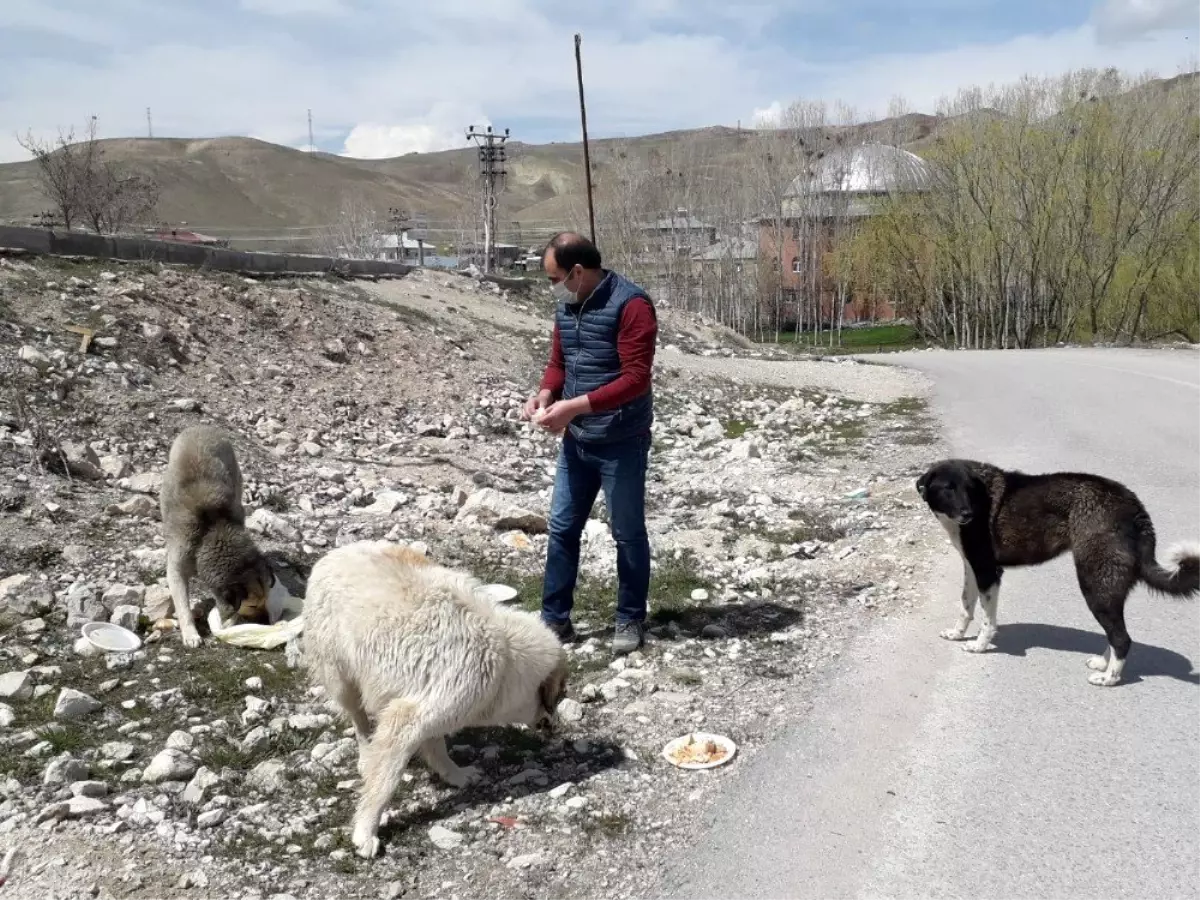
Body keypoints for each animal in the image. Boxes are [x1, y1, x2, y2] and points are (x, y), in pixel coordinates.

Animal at [157, 424, 272, 648]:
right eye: (253, 606)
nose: (269, 623)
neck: (210, 532)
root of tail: (201, 426)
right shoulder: (176, 568)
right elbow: (182, 603)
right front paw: (190, 633)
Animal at [307, 540, 573, 864]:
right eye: (560, 692)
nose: (556, 725)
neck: (507, 659)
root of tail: (335, 553)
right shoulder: (409, 716)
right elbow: (385, 781)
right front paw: (366, 831)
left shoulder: (437, 710)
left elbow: (437, 748)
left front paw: (455, 775)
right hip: (341, 677)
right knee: (357, 717)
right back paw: (365, 753)